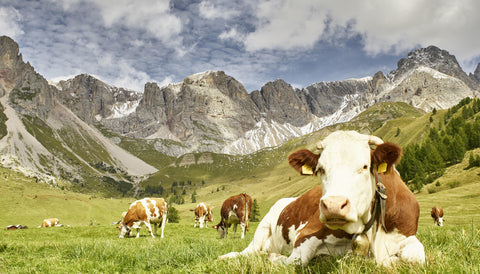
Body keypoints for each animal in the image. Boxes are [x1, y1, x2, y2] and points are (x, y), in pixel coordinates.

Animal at [219, 132, 426, 266]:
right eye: (320, 169)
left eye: (365, 166)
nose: (333, 205)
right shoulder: (306, 233)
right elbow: (296, 260)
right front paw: (275, 258)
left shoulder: (406, 235)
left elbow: (416, 259)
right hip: (262, 228)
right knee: (249, 251)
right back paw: (227, 256)